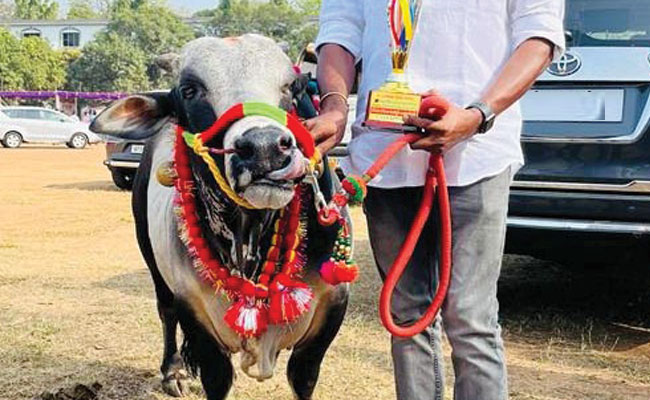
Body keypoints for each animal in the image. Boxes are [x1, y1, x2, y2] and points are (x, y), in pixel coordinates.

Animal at [90, 35, 350, 400]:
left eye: (292, 86)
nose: (265, 149)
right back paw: (173, 371)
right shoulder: (196, 315)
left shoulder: (329, 313)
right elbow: (216, 378)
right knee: (165, 312)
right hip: (152, 260)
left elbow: (303, 379)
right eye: (189, 90)